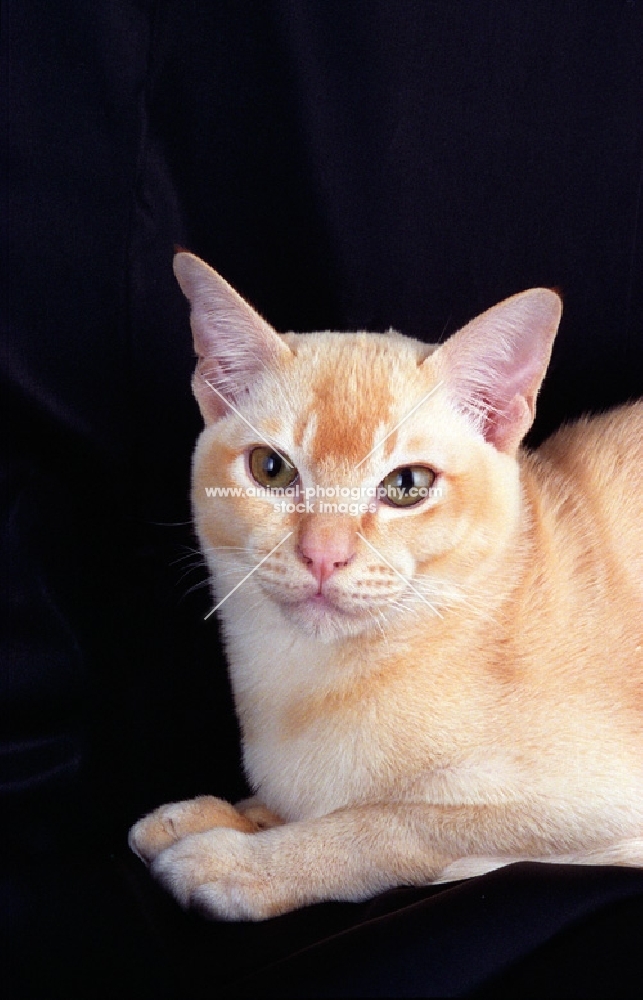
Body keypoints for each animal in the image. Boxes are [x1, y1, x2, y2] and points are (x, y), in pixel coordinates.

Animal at [130, 252, 643, 920]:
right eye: (271, 469)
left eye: (407, 486)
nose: (323, 556)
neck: (307, 685)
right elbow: (297, 805)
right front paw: (217, 816)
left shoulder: (598, 801)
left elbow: (388, 821)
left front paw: (239, 863)